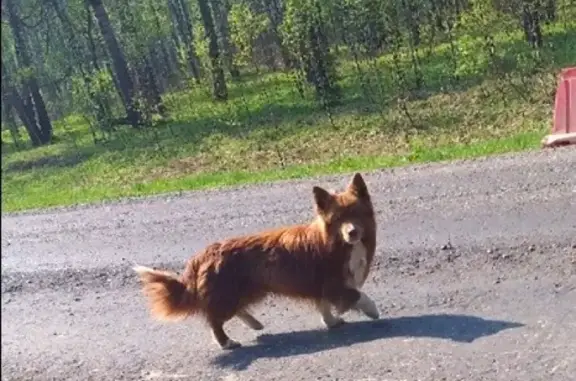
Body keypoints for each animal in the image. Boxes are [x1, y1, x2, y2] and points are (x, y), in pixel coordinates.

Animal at [134, 174, 378, 348]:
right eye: (338, 219)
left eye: (357, 213)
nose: (352, 233)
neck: (337, 242)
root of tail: (201, 256)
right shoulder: (333, 283)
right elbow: (358, 295)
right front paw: (373, 311)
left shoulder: (320, 285)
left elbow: (323, 305)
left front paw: (332, 322)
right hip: (229, 293)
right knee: (214, 320)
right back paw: (227, 343)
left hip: (245, 290)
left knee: (236, 310)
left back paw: (255, 323)